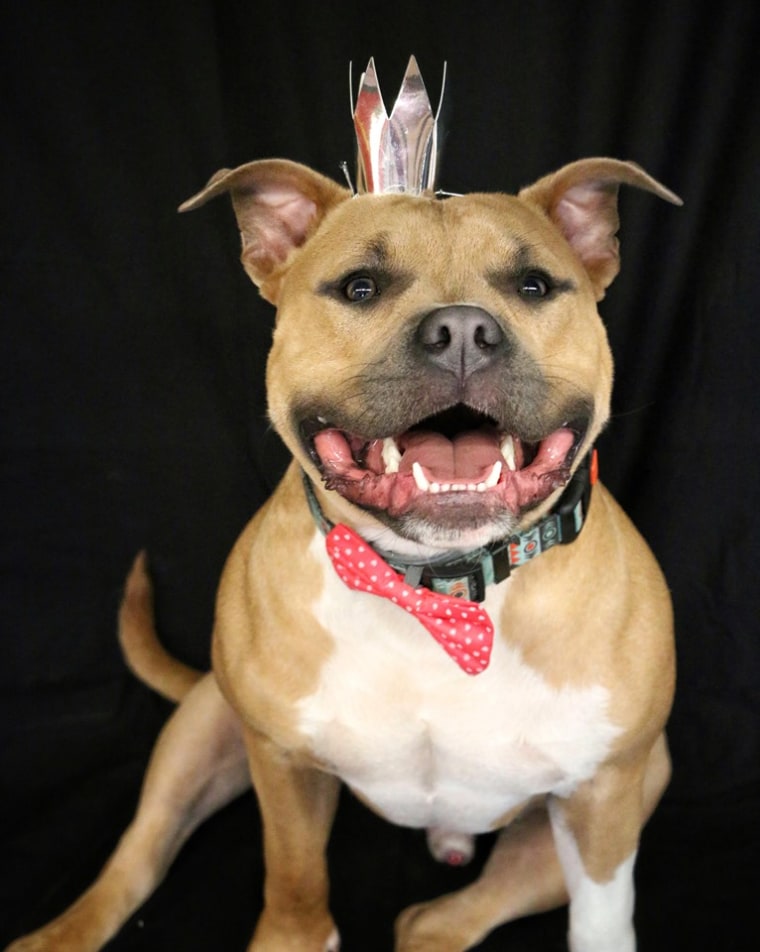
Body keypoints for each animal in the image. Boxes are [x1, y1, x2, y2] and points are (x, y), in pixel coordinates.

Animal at [8, 151, 680, 952]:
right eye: (360, 287)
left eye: (534, 286)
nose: (462, 329)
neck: (435, 590)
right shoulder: (281, 762)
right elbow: (293, 876)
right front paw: (294, 935)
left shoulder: (607, 792)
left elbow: (602, 918)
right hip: (202, 732)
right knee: (137, 857)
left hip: (634, 785)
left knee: (443, 916)